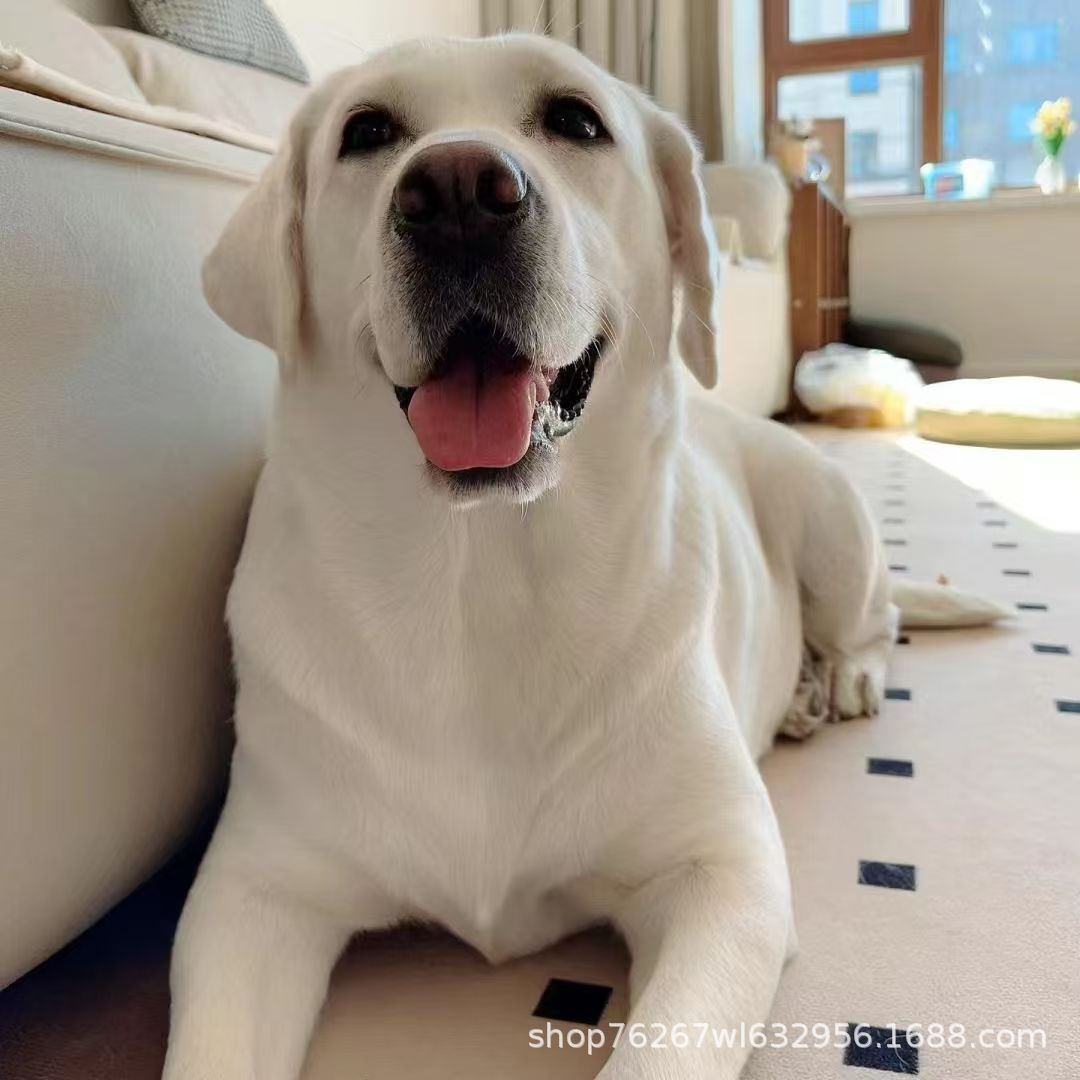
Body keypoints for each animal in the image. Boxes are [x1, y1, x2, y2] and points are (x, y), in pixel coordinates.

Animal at [163, 34, 1000, 1080]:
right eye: (366, 132)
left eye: (575, 120)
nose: (457, 191)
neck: (475, 577)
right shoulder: (253, 893)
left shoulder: (724, 876)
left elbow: (662, 1049)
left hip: (828, 511)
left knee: (873, 618)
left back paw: (839, 680)